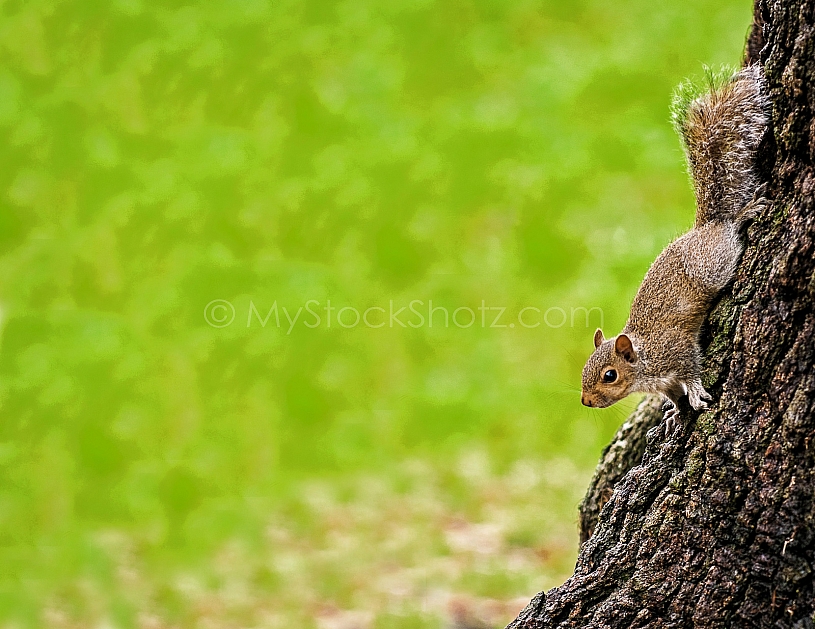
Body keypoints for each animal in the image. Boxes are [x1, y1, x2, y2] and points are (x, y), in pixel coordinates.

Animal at [580, 64, 770, 425]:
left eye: (609, 375)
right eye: (584, 369)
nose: (586, 401)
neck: (644, 361)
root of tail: (705, 227)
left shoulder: (677, 351)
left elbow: (692, 369)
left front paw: (694, 393)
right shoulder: (663, 381)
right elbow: (672, 394)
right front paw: (675, 411)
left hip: (715, 263)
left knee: (729, 232)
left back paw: (741, 215)